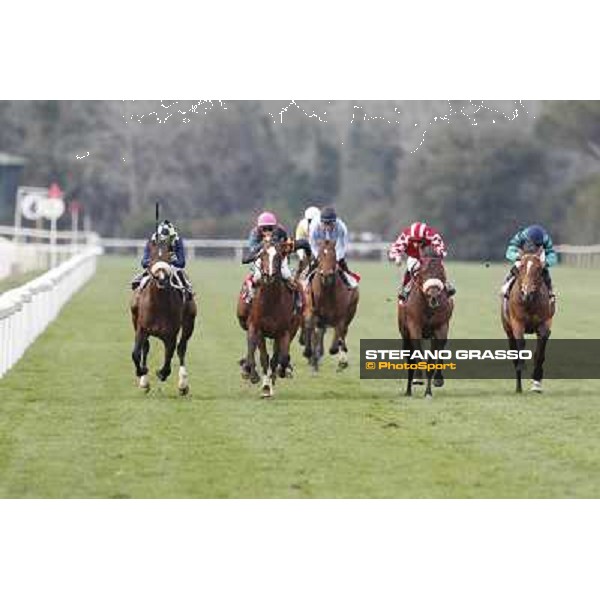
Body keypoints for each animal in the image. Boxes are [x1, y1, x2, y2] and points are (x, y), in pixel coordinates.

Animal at [131, 237, 197, 396]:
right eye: (152, 258)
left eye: (169, 257)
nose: (161, 278)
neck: (159, 305)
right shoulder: (141, 329)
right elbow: (136, 353)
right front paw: (141, 373)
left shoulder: (171, 334)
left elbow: (169, 357)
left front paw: (161, 373)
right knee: (146, 347)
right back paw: (144, 381)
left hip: (189, 323)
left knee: (181, 348)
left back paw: (183, 384)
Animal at [239, 239, 302, 398]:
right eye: (262, 255)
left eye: (279, 256)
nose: (269, 276)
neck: (270, 302)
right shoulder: (256, 328)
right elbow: (260, 355)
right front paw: (260, 381)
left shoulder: (284, 331)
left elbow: (281, 358)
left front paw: (278, 374)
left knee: (277, 356)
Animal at [304, 238, 356, 370]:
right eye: (320, 256)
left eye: (334, 255)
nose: (326, 275)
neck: (326, 292)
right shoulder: (311, 310)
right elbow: (310, 326)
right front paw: (309, 353)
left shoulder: (341, 315)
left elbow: (339, 331)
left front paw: (338, 353)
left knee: (342, 331)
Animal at [398, 255, 454, 396]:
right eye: (422, 273)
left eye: (441, 273)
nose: (433, 297)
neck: (428, 307)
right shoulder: (414, 326)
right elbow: (417, 350)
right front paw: (418, 378)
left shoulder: (441, 327)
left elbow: (437, 354)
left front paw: (437, 380)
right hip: (404, 334)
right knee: (409, 359)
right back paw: (408, 391)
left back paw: (427, 391)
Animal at [500, 248, 556, 394]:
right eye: (522, 267)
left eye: (538, 269)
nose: (527, 293)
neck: (530, 302)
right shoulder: (517, 323)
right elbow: (521, 344)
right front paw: (522, 366)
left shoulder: (544, 324)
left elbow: (540, 353)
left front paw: (536, 379)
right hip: (508, 330)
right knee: (514, 354)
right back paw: (518, 387)